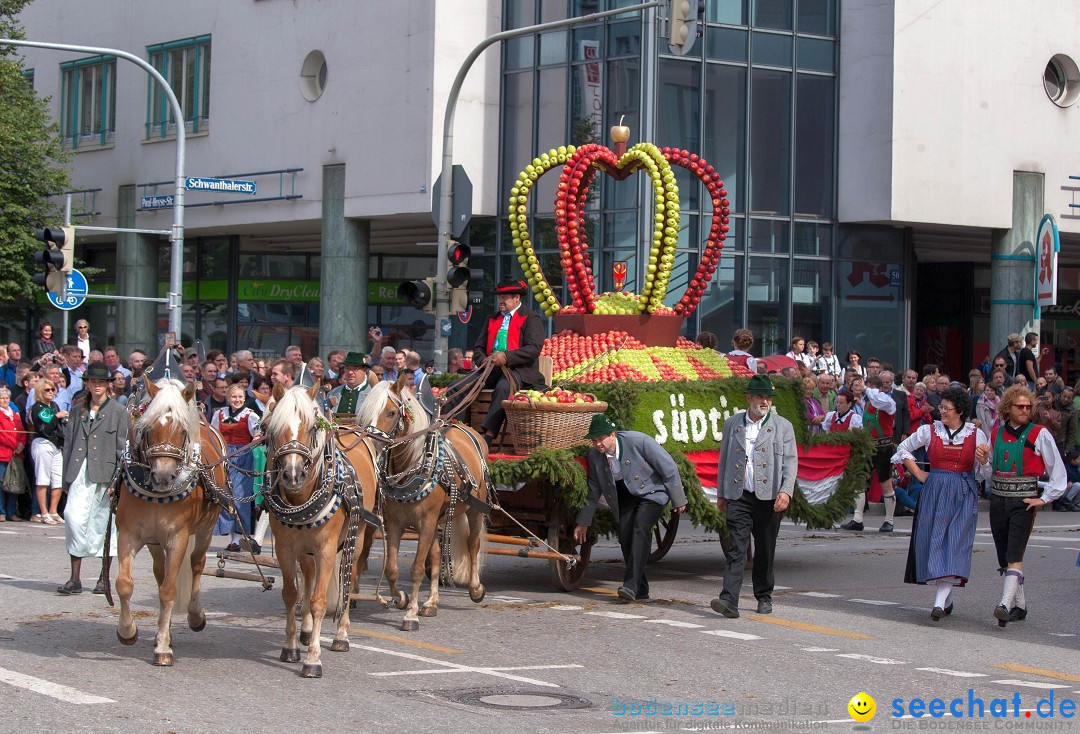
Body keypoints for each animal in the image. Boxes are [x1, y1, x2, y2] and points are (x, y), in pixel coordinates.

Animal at [111, 377, 230, 664]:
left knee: (197, 564)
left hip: (206, 529)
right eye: (148, 428)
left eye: (182, 431)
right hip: (155, 541)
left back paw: (195, 616)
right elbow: (124, 584)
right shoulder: (128, 534)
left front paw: (163, 647)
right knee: (160, 571)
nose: (163, 475)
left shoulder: (178, 536)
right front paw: (128, 631)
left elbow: (168, 591)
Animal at [261, 382, 380, 677]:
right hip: (306, 549)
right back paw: (305, 632)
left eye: (312, 427)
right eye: (272, 428)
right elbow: (291, 594)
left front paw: (313, 659)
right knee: (309, 574)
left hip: (356, 537)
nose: (293, 474)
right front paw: (291, 647)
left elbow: (319, 601)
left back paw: (341, 636)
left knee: (349, 579)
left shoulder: (326, 548)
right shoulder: (286, 548)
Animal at [354, 377, 490, 630]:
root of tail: (465, 427)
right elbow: (392, 568)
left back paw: (475, 588)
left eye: (391, 412)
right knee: (436, 555)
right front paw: (401, 599)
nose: (371, 445)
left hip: (475, 509)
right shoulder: (394, 523)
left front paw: (410, 614)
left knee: (473, 544)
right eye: (363, 412)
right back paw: (431, 602)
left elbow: (417, 568)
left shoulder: (426, 522)